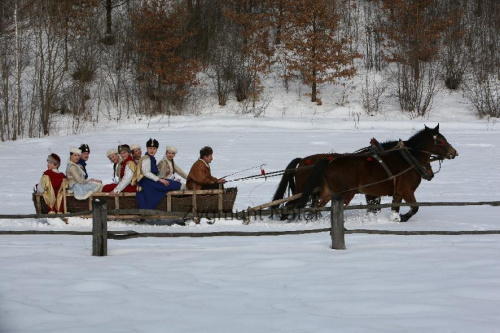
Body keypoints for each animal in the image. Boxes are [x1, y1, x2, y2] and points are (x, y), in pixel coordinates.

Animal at [294, 124, 458, 220]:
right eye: (440, 141)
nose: (454, 152)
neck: (409, 160)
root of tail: (329, 162)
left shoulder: (397, 193)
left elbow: (394, 208)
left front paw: (395, 218)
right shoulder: (406, 191)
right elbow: (415, 208)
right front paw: (403, 217)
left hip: (328, 192)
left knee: (316, 206)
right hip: (344, 194)